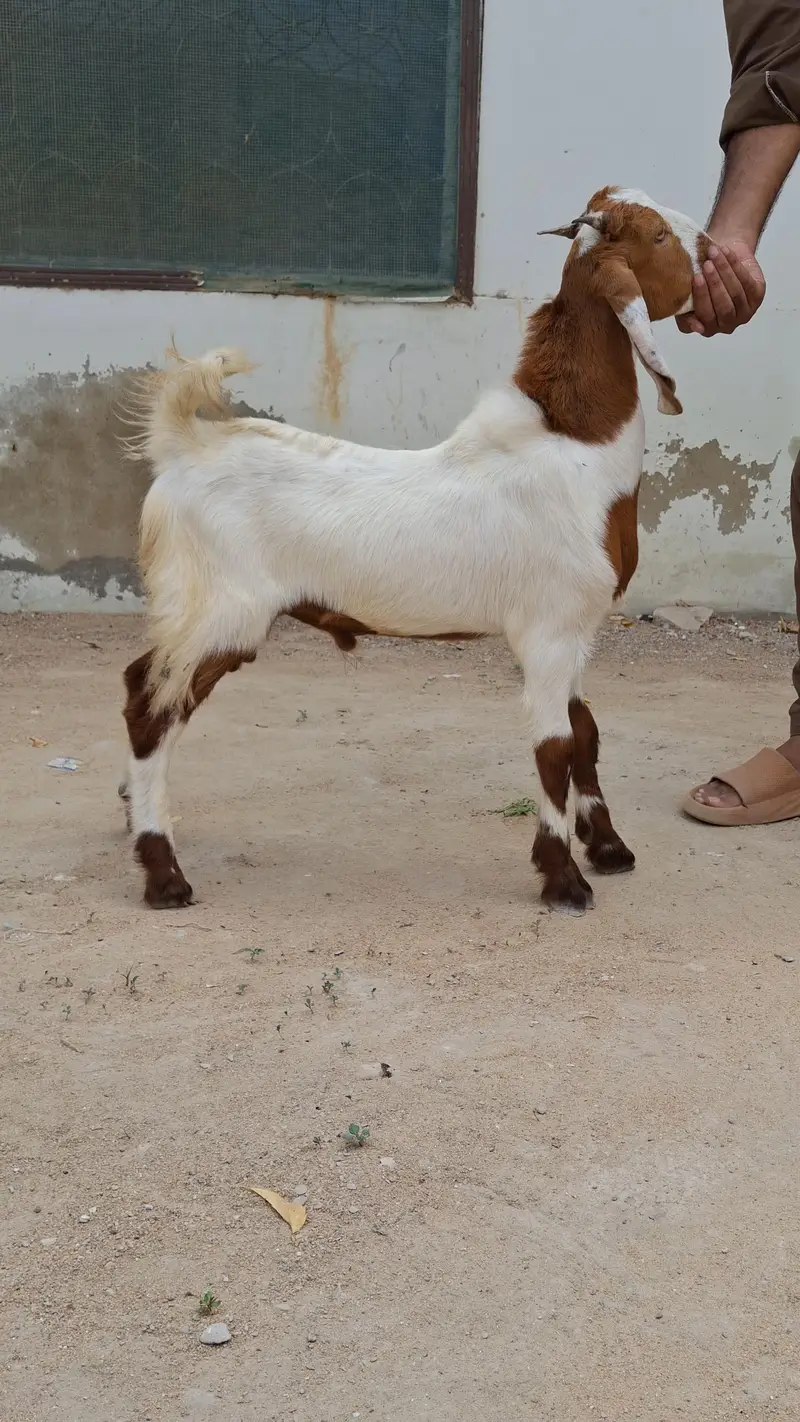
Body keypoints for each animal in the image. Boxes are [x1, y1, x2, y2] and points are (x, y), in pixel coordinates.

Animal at [120, 186, 708, 914]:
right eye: (658, 236)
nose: (710, 252)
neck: (574, 445)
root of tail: (182, 447)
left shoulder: (578, 629)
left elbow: (587, 734)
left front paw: (607, 847)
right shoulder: (546, 629)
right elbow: (554, 748)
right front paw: (563, 879)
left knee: (138, 683)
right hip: (219, 610)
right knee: (151, 709)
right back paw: (164, 874)